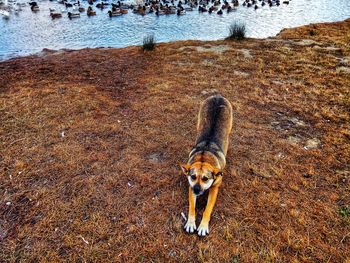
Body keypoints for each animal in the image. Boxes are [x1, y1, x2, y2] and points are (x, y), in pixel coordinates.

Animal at [180, 94, 232, 237]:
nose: (197, 190)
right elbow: (192, 207)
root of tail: (218, 95)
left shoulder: (215, 188)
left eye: (205, 178)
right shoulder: (190, 187)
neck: (204, 157)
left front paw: (203, 226)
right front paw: (191, 222)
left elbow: (207, 209)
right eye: (193, 177)